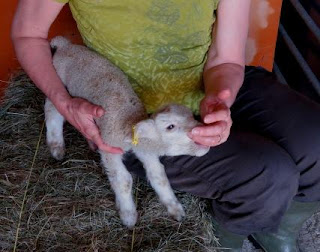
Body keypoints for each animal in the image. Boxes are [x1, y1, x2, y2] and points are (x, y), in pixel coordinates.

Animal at [45, 36, 210, 227]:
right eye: (170, 127)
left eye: (191, 116)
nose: (200, 128)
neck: (128, 125)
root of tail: (65, 45)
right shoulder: (108, 147)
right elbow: (123, 180)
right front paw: (128, 215)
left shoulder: (146, 151)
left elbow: (159, 176)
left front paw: (174, 208)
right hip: (60, 81)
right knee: (53, 109)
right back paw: (56, 146)